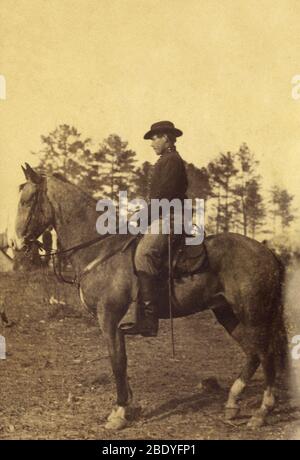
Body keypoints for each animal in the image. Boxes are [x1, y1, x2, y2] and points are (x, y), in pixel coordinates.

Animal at [14, 165, 288, 432]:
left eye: (27, 201)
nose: (17, 245)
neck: (101, 250)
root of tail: (267, 251)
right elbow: (121, 365)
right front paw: (127, 407)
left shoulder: (110, 321)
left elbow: (118, 363)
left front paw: (119, 413)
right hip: (227, 313)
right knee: (253, 353)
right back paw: (232, 403)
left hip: (254, 314)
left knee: (266, 353)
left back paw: (262, 412)